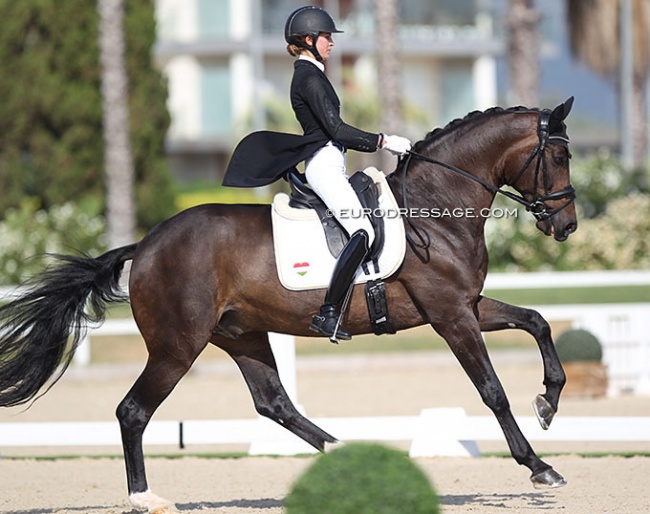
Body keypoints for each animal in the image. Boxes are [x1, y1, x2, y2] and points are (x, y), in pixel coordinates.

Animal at [1, 98, 576, 510]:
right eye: (559, 157)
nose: (567, 226)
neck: (434, 207)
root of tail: (144, 245)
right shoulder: (450, 316)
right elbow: (492, 391)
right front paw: (539, 466)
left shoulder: (465, 305)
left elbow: (537, 322)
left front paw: (548, 402)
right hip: (177, 345)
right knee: (133, 410)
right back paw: (145, 498)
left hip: (243, 335)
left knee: (274, 402)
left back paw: (352, 462)